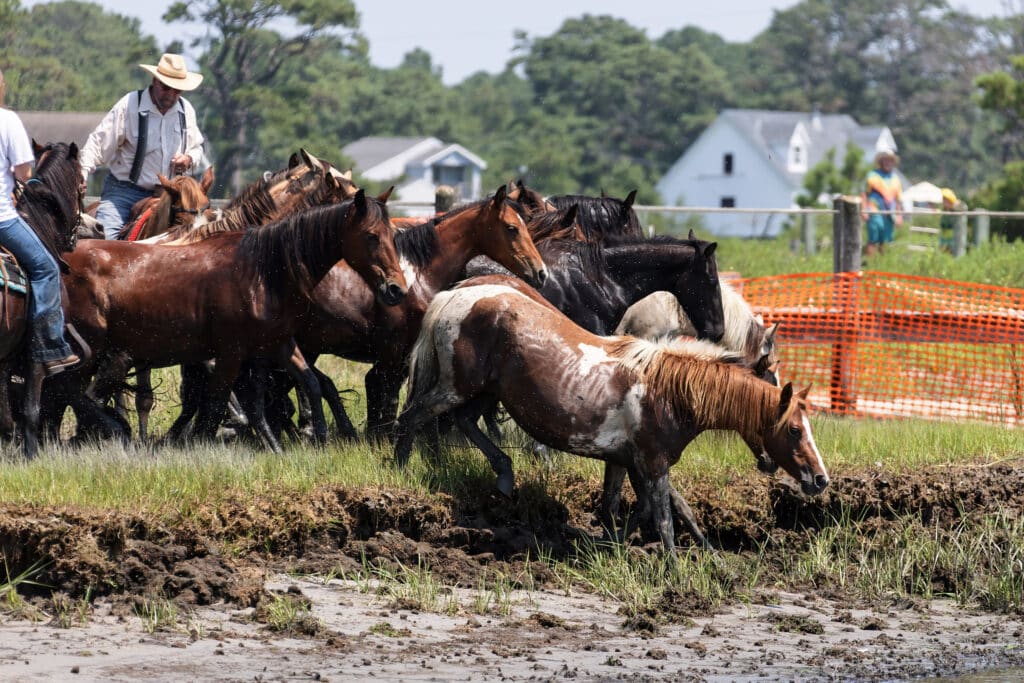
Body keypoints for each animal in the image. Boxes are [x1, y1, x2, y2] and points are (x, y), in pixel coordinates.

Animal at [0, 141, 85, 456]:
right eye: (82, 183)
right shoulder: (35, 353)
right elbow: (30, 409)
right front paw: (30, 452)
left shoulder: (6, 355)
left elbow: (5, 415)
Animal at [58, 189, 407, 446]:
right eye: (372, 236)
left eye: (393, 235)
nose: (396, 289)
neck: (263, 271)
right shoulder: (230, 353)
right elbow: (216, 403)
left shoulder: (278, 344)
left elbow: (309, 383)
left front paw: (313, 437)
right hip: (95, 351)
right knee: (74, 394)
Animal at [292, 185, 548, 444]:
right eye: (511, 228)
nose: (541, 273)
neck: (418, 277)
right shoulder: (392, 352)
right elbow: (386, 395)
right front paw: (384, 438)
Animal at [393, 278, 831, 557]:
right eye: (795, 430)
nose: (820, 479)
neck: (667, 390)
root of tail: (456, 296)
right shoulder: (652, 463)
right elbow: (664, 518)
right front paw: (675, 568)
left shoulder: (625, 461)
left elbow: (644, 507)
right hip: (456, 386)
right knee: (411, 418)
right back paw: (401, 469)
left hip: (483, 392)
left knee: (464, 422)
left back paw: (503, 473)